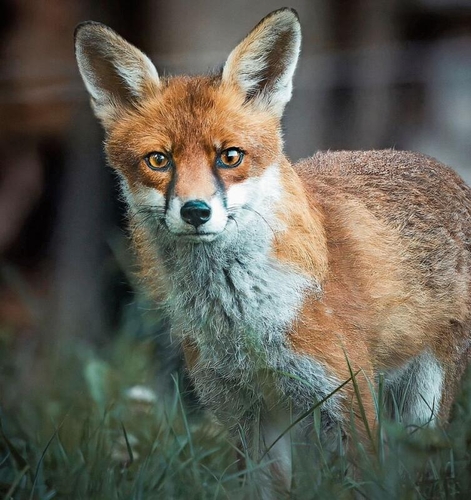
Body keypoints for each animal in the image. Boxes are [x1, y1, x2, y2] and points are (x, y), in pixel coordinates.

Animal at [74, 6, 471, 496]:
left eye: (230, 156)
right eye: (158, 160)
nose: (195, 211)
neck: (242, 324)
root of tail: (440, 166)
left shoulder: (349, 400)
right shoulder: (246, 415)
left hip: (425, 405)